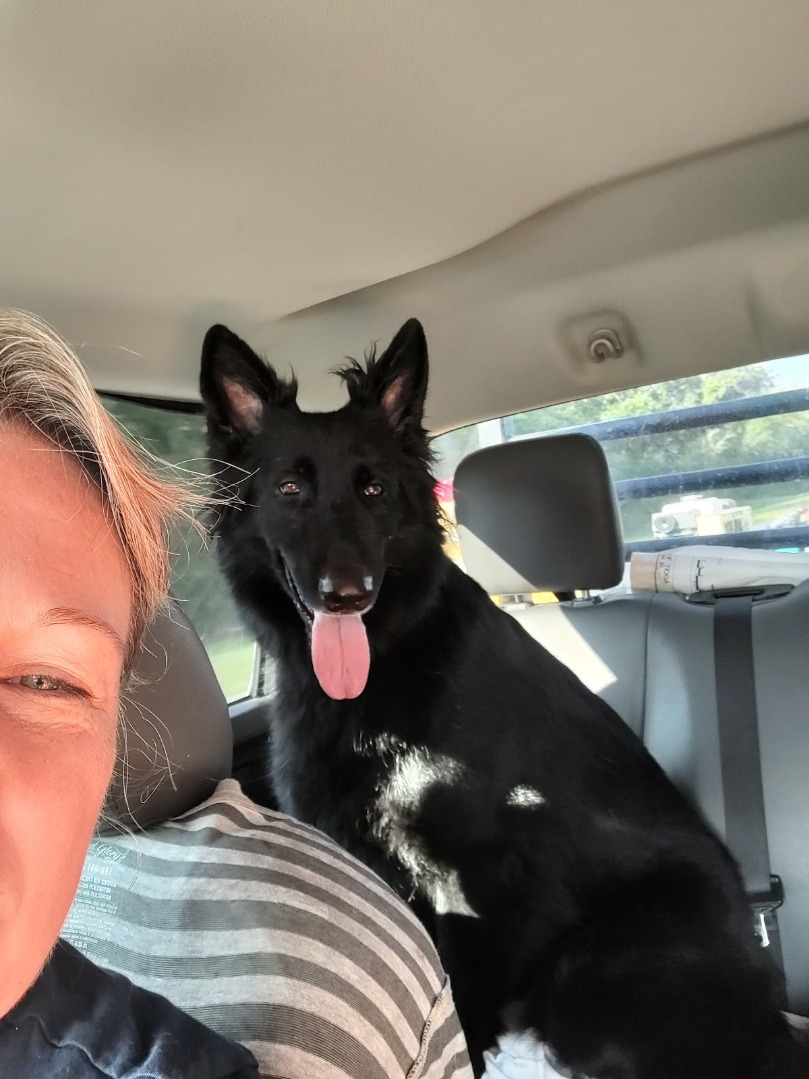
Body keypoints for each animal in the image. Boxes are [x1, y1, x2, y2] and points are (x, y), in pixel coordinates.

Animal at [200, 318, 808, 1077]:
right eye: (288, 487)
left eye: (374, 490)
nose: (347, 594)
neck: (393, 657)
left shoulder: (482, 881)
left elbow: (459, 1000)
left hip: (589, 974)